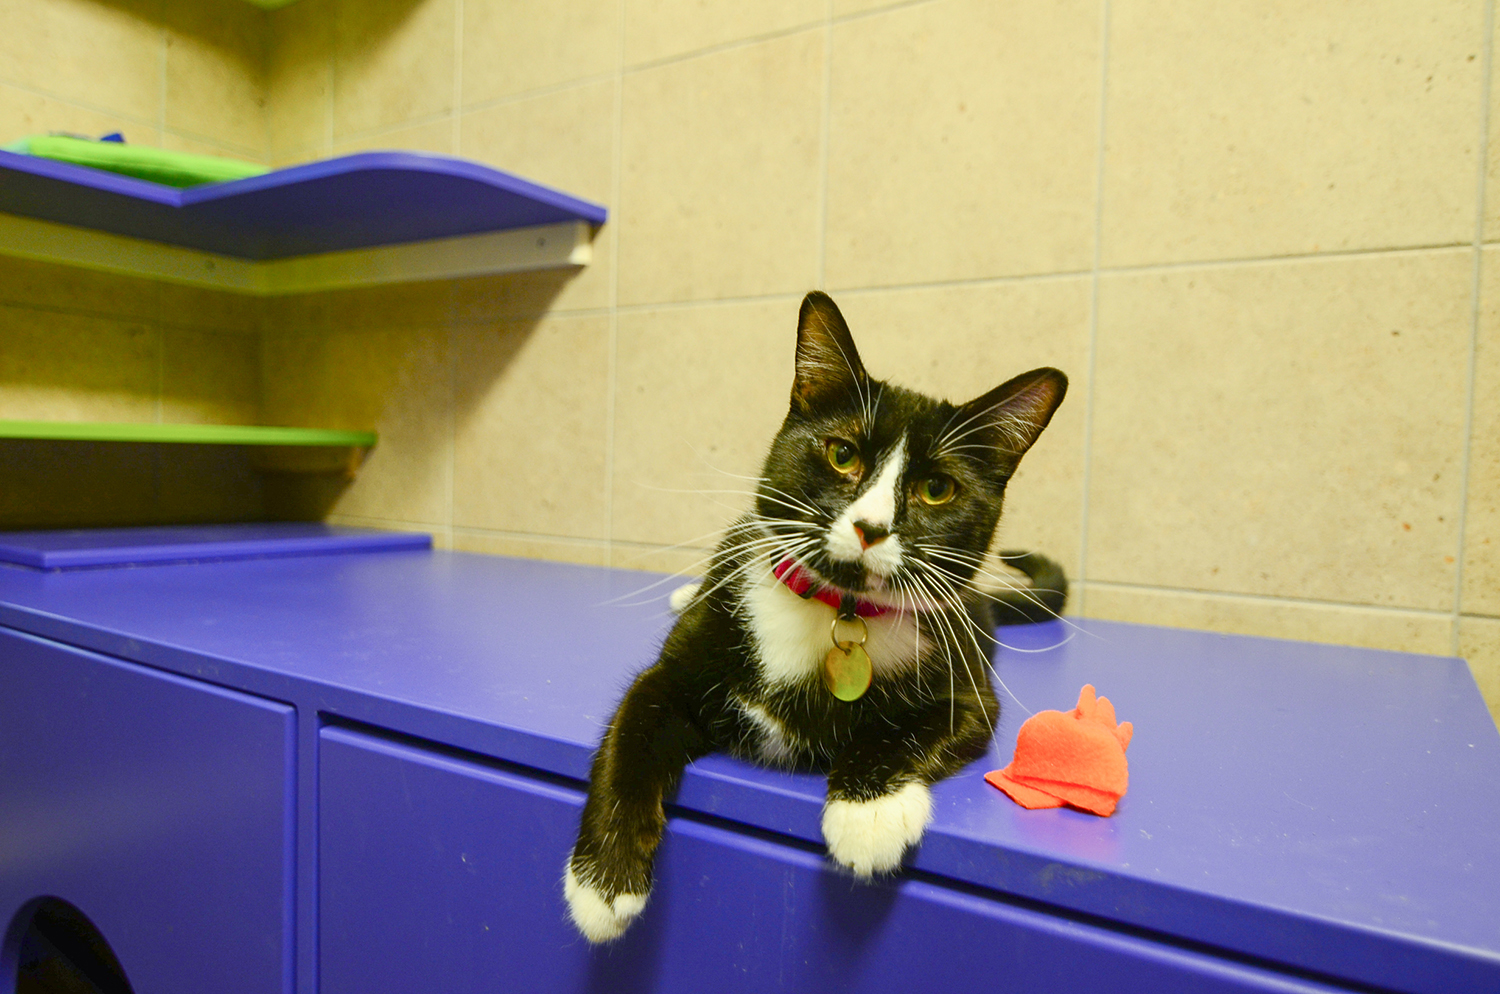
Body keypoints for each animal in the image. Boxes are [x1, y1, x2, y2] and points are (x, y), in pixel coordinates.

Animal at [564, 292, 1068, 947]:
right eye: (841, 454)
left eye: (937, 489)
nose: (870, 527)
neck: (837, 611)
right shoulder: (676, 669)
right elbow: (633, 728)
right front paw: (602, 883)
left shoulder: (967, 686)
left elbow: (917, 727)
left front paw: (868, 813)